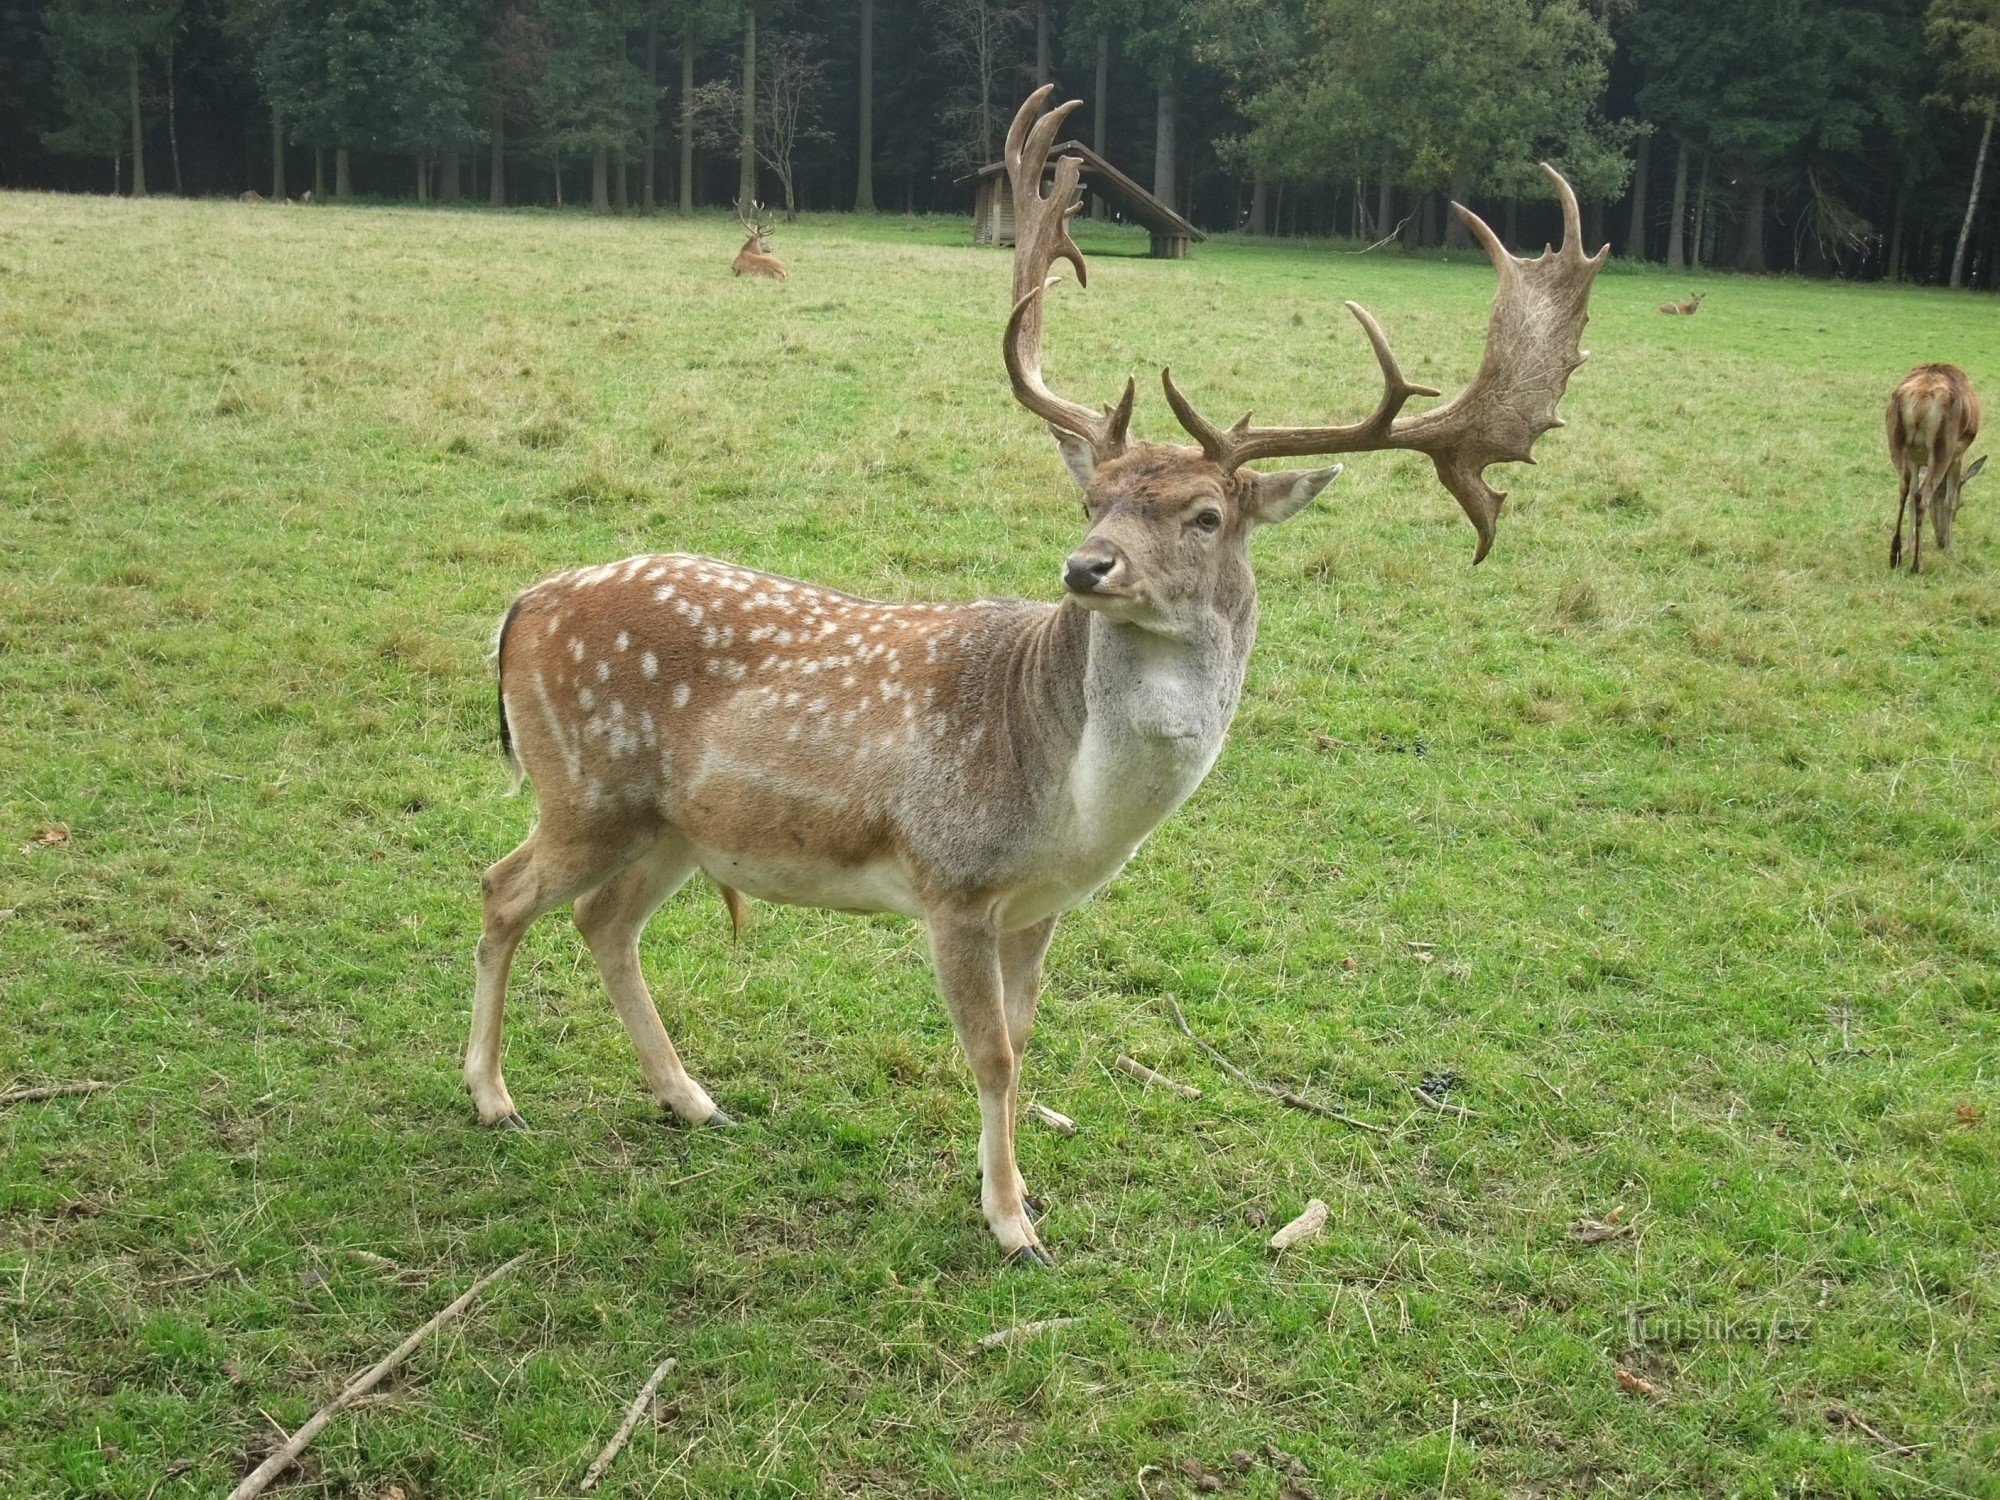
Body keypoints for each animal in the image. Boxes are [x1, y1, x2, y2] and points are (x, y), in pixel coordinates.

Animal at [472, 91, 1608, 1272]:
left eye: (1206, 514)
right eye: (1092, 498)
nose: (1085, 567)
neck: (1072, 809)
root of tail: (520, 608)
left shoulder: (1042, 906)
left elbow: (1022, 1040)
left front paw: (1017, 1194)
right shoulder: (953, 880)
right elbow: (990, 1056)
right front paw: (1013, 1224)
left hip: (673, 827)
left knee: (601, 921)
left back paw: (691, 1100)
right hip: (588, 787)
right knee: (503, 887)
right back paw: (495, 1098)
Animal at [1888, 364, 1984, 576]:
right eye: (1962, 505)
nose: (1940, 542)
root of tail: (1921, 399)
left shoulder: (1915, 461)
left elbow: (1910, 496)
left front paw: (1908, 548)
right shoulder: (1957, 456)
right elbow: (1948, 500)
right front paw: (1951, 549)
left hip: (1896, 443)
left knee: (1904, 489)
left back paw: (1895, 555)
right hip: (1943, 449)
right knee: (1922, 495)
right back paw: (1918, 564)